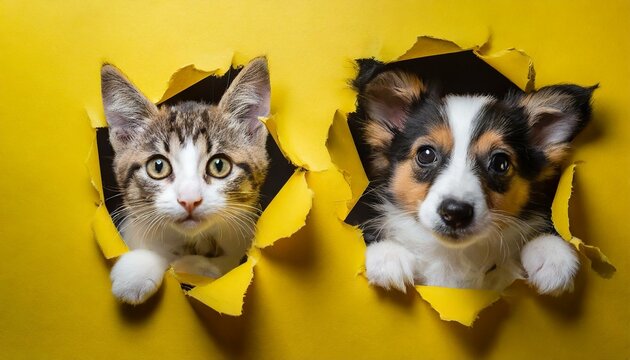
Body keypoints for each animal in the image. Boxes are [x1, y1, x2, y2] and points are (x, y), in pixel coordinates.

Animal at [356, 67, 596, 296]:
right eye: (426, 154)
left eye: (500, 162)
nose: (455, 212)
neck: (453, 255)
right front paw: (388, 257)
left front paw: (552, 254)